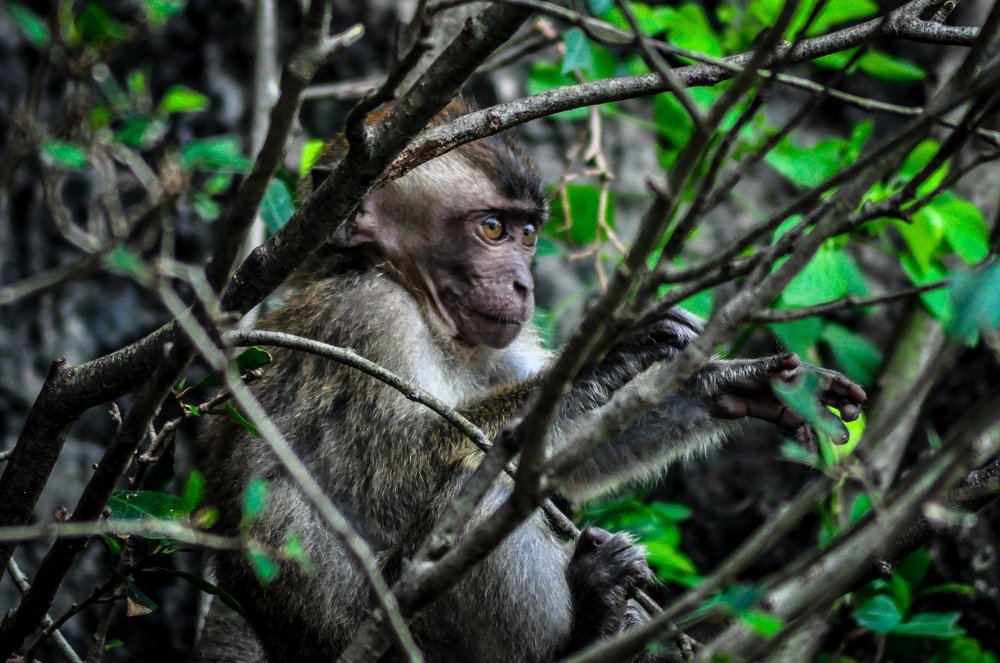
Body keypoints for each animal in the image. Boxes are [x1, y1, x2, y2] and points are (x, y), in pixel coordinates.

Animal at [197, 98, 866, 663]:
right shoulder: (365, 319)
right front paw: (608, 356)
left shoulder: (497, 340)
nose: (524, 284)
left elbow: (559, 460)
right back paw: (581, 634)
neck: (414, 297)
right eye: (491, 229)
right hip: (391, 637)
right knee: (477, 492)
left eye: (526, 233)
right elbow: (397, 471)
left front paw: (743, 384)